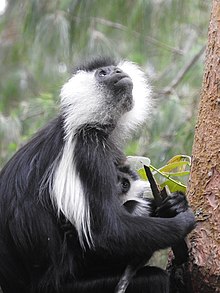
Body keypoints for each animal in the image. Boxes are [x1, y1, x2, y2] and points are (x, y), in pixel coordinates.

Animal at [0, 56, 194, 290]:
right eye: (103, 72)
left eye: (115, 69)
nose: (118, 72)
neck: (83, 122)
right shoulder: (87, 150)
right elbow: (106, 233)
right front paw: (183, 222)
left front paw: (175, 203)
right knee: (153, 278)